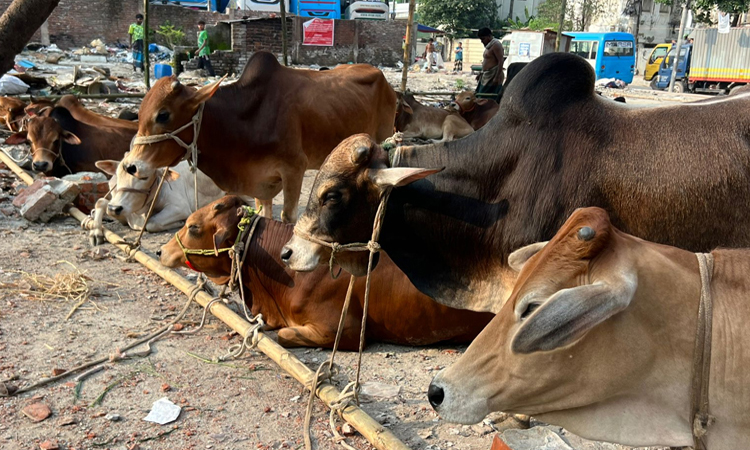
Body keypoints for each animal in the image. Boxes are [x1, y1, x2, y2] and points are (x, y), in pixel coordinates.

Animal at [121, 51, 396, 223]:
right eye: (140, 113)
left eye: (163, 114)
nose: (130, 166)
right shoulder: (259, 179)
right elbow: (263, 214)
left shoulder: (294, 168)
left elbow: (287, 217)